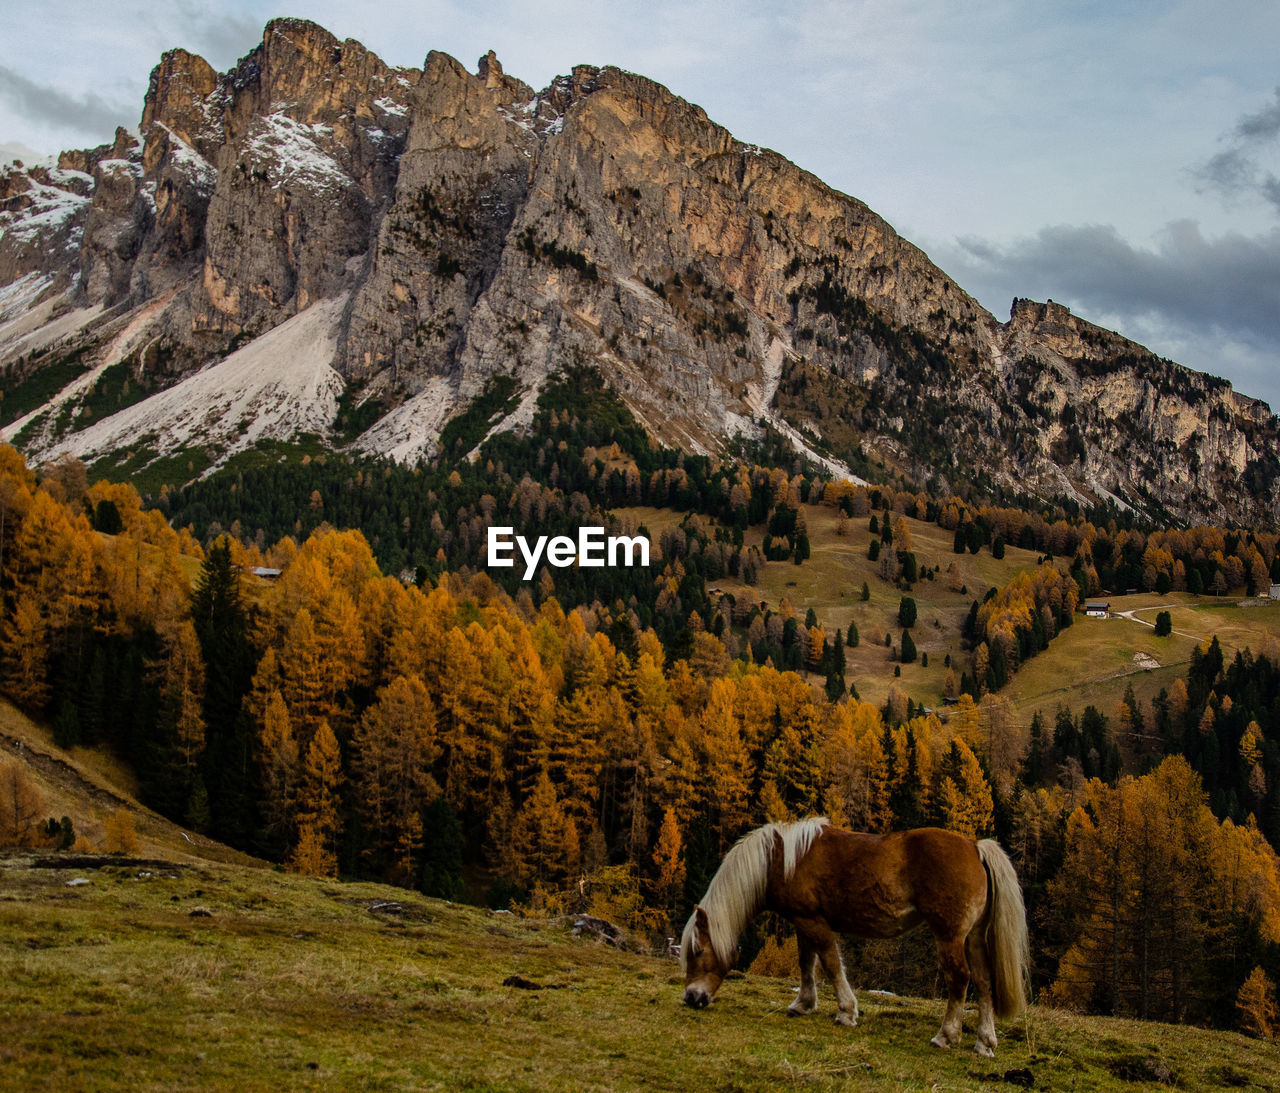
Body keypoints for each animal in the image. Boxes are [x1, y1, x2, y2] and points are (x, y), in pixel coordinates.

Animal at [680, 819, 1029, 1054]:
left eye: (698, 951)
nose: (692, 998)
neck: (782, 860)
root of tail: (974, 846)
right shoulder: (803, 922)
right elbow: (807, 964)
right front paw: (803, 1004)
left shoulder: (814, 923)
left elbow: (831, 964)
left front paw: (846, 1012)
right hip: (973, 938)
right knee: (983, 982)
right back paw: (984, 1042)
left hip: (950, 936)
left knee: (959, 979)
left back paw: (946, 1035)